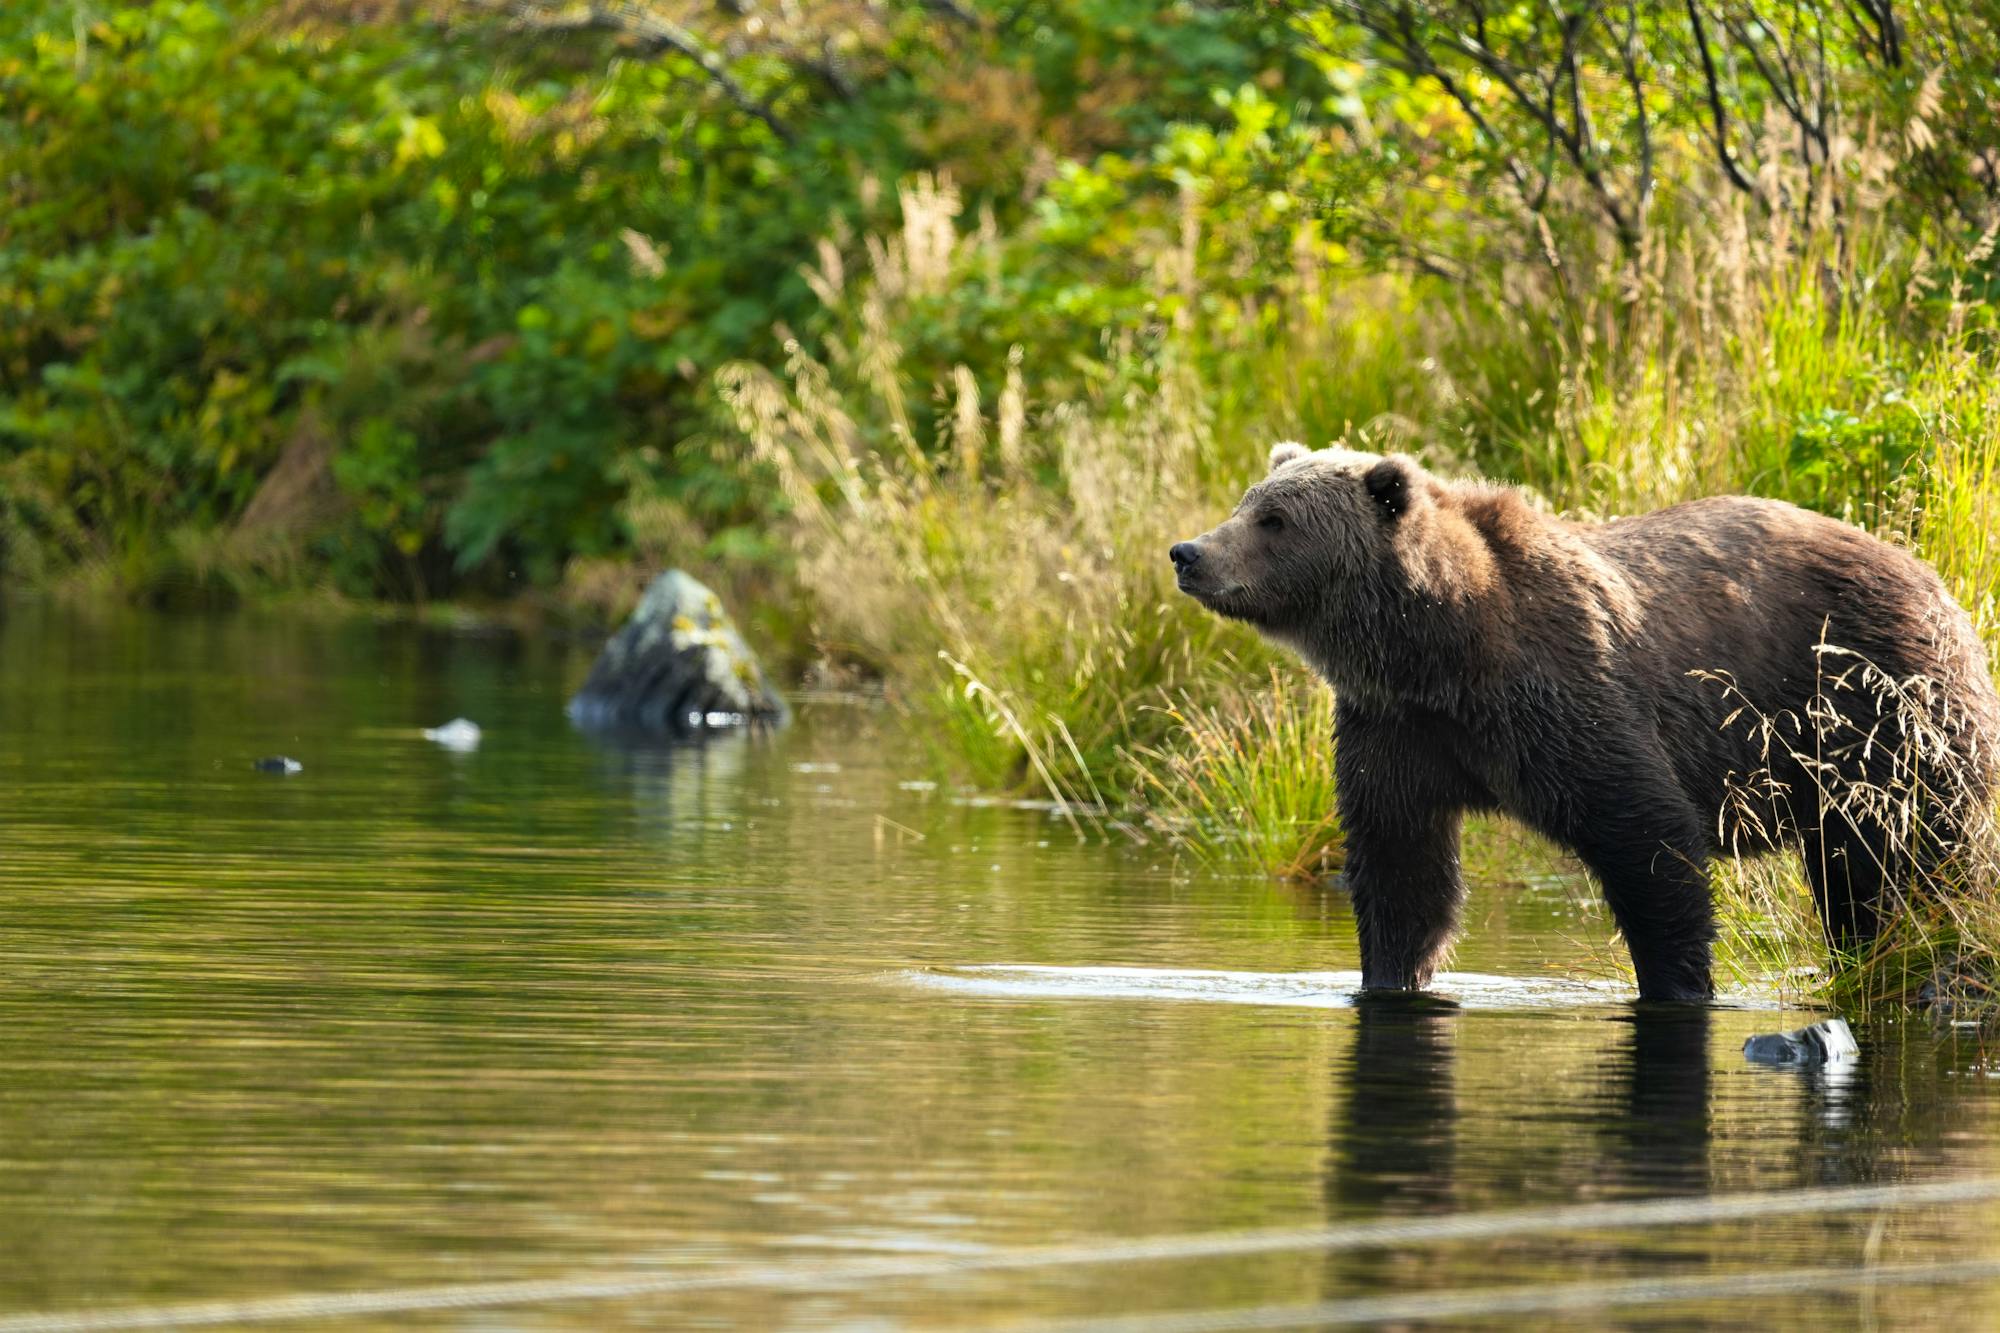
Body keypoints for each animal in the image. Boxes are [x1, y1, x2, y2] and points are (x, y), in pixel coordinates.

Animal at [1170, 442, 2000, 1001]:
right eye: (1247, 500)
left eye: (1275, 519)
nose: (1189, 552)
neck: (1441, 646)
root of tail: (1938, 582)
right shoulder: (1397, 728)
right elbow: (1402, 865)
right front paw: (1391, 973)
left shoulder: (1566, 696)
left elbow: (1647, 833)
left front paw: (1678, 978)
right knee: (1856, 877)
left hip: (1881, 709)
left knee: (1920, 852)